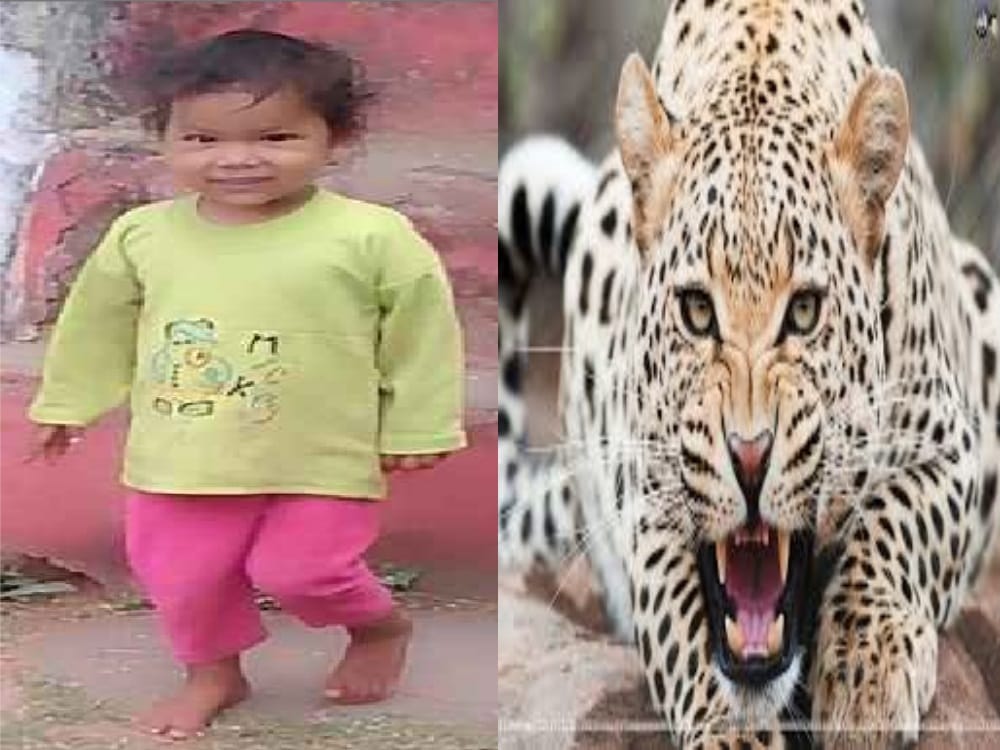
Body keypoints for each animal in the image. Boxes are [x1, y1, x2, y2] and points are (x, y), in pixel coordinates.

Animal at [498, 1, 1000, 748]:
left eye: (806, 311)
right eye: (697, 310)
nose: (751, 457)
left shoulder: (953, 443)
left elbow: (896, 521)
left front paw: (867, 672)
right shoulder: (646, 490)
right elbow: (683, 621)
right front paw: (730, 729)